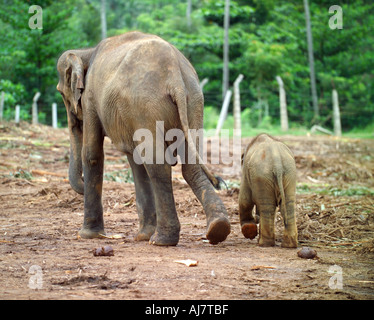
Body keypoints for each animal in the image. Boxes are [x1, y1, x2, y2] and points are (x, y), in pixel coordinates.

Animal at [56, 31, 231, 245]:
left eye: (61, 93)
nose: (80, 183)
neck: (86, 51)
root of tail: (174, 77)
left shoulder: (90, 98)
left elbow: (92, 154)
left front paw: (88, 235)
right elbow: (136, 160)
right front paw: (142, 236)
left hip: (146, 106)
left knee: (157, 163)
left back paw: (161, 240)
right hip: (194, 102)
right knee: (190, 164)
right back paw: (217, 229)